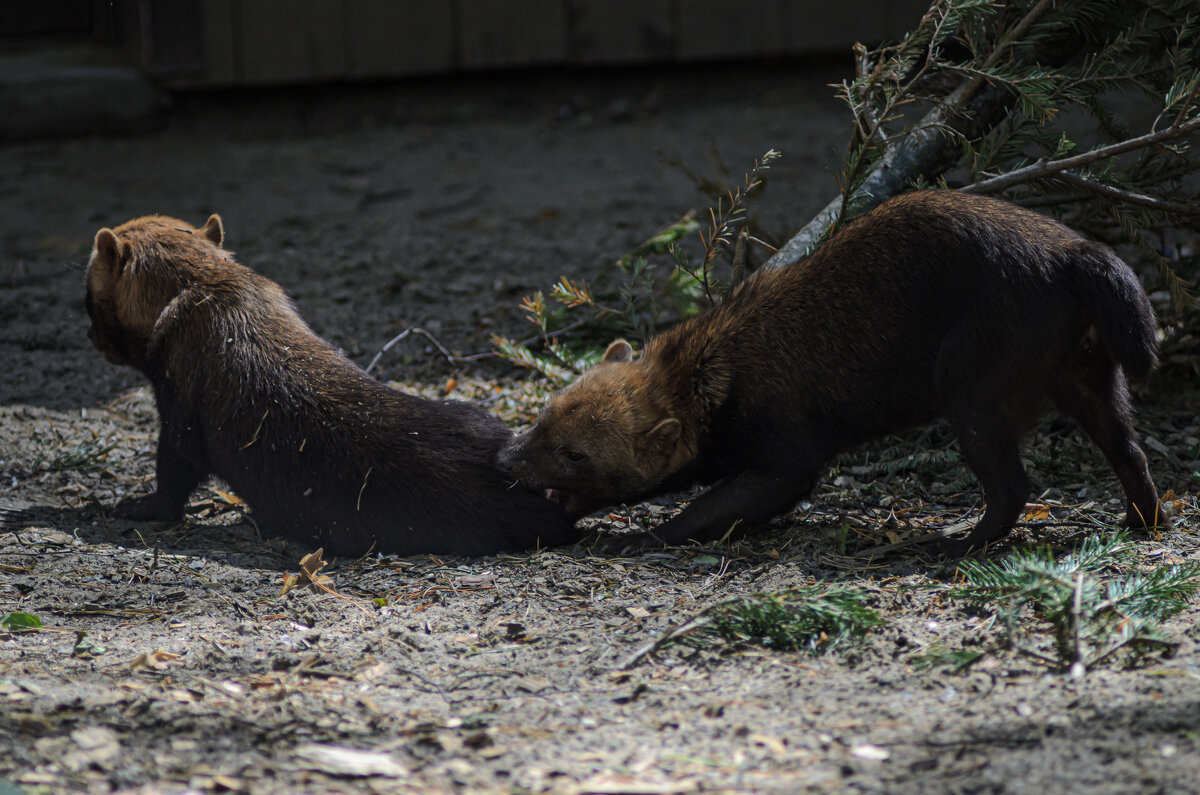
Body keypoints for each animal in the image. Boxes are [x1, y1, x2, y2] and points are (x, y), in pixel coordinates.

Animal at [82, 214, 578, 557]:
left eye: (87, 297)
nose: (88, 338)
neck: (210, 288)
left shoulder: (179, 419)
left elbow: (171, 482)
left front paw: (130, 506)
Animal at [496, 190, 1161, 557]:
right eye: (541, 417)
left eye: (575, 454)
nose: (506, 459)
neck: (714, 370)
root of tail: (1076, 255)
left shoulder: (788, 451)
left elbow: (720, 505)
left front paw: (637, 538)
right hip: (1088, 375)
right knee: (1131, 453)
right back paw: (1141, 522)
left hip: (972, 385)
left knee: (1012, 487)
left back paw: (953, 544)